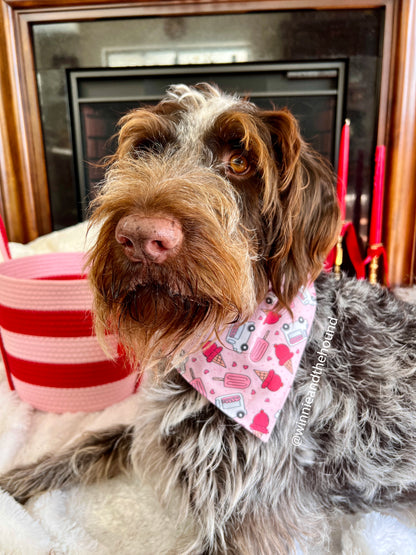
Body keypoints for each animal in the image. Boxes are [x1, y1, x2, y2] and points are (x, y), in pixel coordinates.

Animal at [0, 83, 416, 555]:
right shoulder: (155, 428)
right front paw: (18, 480)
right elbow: (96, 440)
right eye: (145, 150)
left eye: (240, 162)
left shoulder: (250, 520)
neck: (223, 341)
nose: (141, 237)